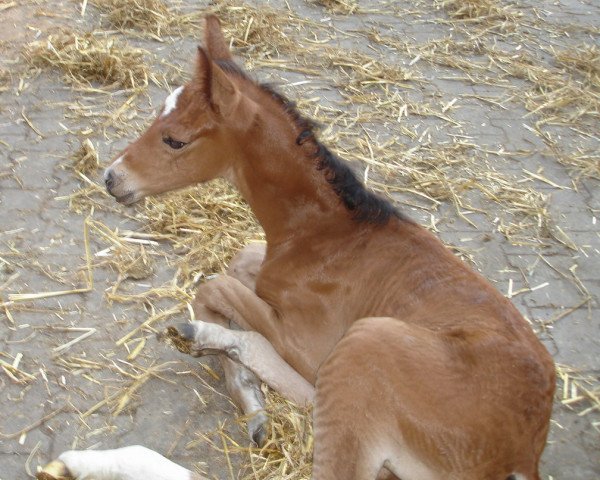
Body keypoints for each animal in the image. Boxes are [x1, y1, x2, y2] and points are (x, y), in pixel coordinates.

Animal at [39, 15, 556, 480]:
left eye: (175, 140)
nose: (112, 178)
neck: (329, 235)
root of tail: (521, 455)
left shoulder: (311, 343)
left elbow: (215, 285)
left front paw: (241, 385)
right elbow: (238, 263)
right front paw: (245, 389)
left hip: (366, 343)